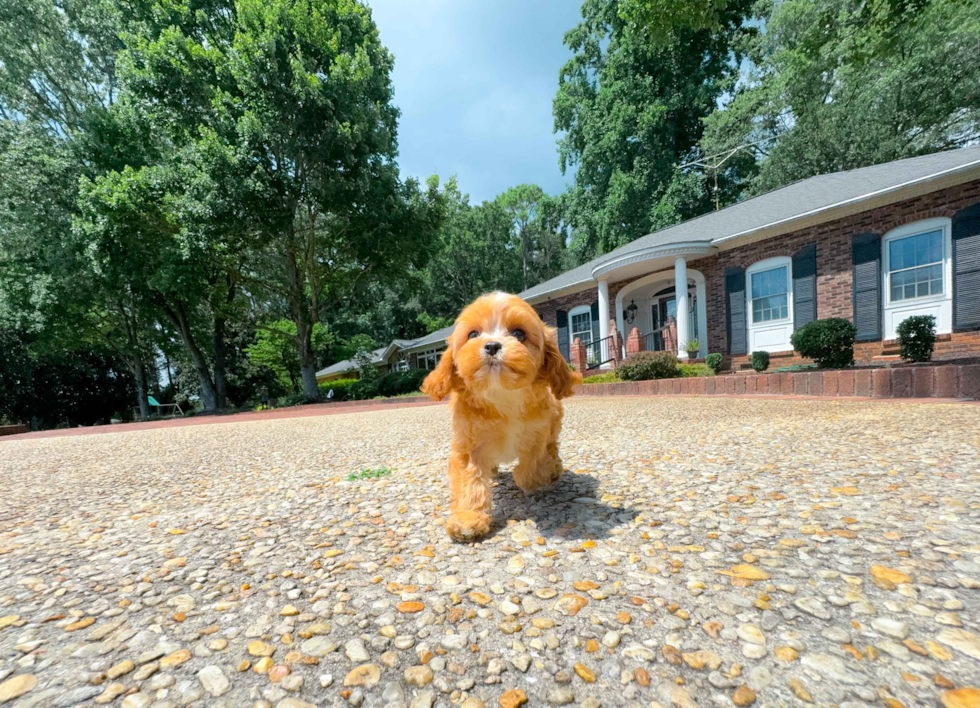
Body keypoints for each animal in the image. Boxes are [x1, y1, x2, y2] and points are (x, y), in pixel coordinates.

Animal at [424, 294, 580, 544]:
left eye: (519, 333)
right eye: (473, 334)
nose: (491, 345)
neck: (501, 394)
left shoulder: (537, 432)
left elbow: (532, 467)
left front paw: (535, 477)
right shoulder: (469, 444)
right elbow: (470, 479)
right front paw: (468, 519)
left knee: (552, 447)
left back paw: (553, 469)